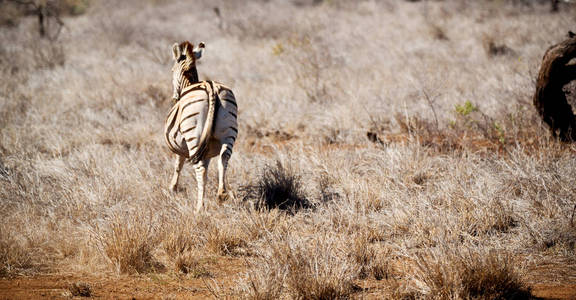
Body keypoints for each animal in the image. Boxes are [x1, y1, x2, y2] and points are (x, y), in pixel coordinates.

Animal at [164, 41, 238, 213]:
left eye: (171, 70)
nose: (174, 98)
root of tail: (212, 88)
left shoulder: (183, 145)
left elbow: (178, 164)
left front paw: (173, 188)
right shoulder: (207, 150)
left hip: (193, 136)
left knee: (200, 169)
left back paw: (199, 208)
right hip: (228, 133)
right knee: (224, 158)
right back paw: (222, 194)